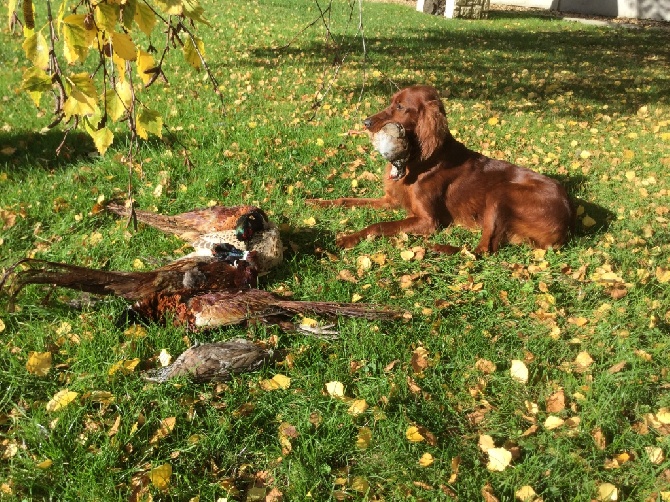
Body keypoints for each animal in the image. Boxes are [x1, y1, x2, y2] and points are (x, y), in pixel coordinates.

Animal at [310, 85, 576, 255]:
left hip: (500, 194)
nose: (366, 122)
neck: (419, 161)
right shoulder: (391, 200)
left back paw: (440, 248)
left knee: (484, 250)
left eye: (400, 106)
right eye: (391, 102)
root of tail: (568, 218)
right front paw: (318, 202)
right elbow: (347, 199)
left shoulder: (429, 222)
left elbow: (378, 226)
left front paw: (346, 238)